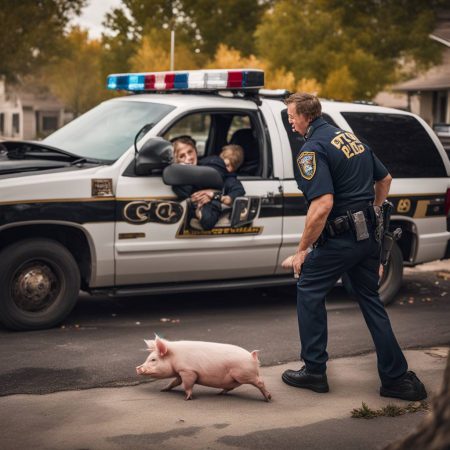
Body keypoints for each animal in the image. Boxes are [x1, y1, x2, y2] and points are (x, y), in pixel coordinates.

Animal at [136, 336, 270, 402]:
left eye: (153, 359)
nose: (137, 368)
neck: (174, 357)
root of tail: (252, 357)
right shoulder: (181, 372)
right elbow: (174, 382)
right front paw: (163, 390)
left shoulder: (188, 371)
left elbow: (187, 385)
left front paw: (187, 399)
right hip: (237, 378)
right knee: (232, 386)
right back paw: (219, 393)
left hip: (244, 374)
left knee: (260, 382)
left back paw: (268, 399)